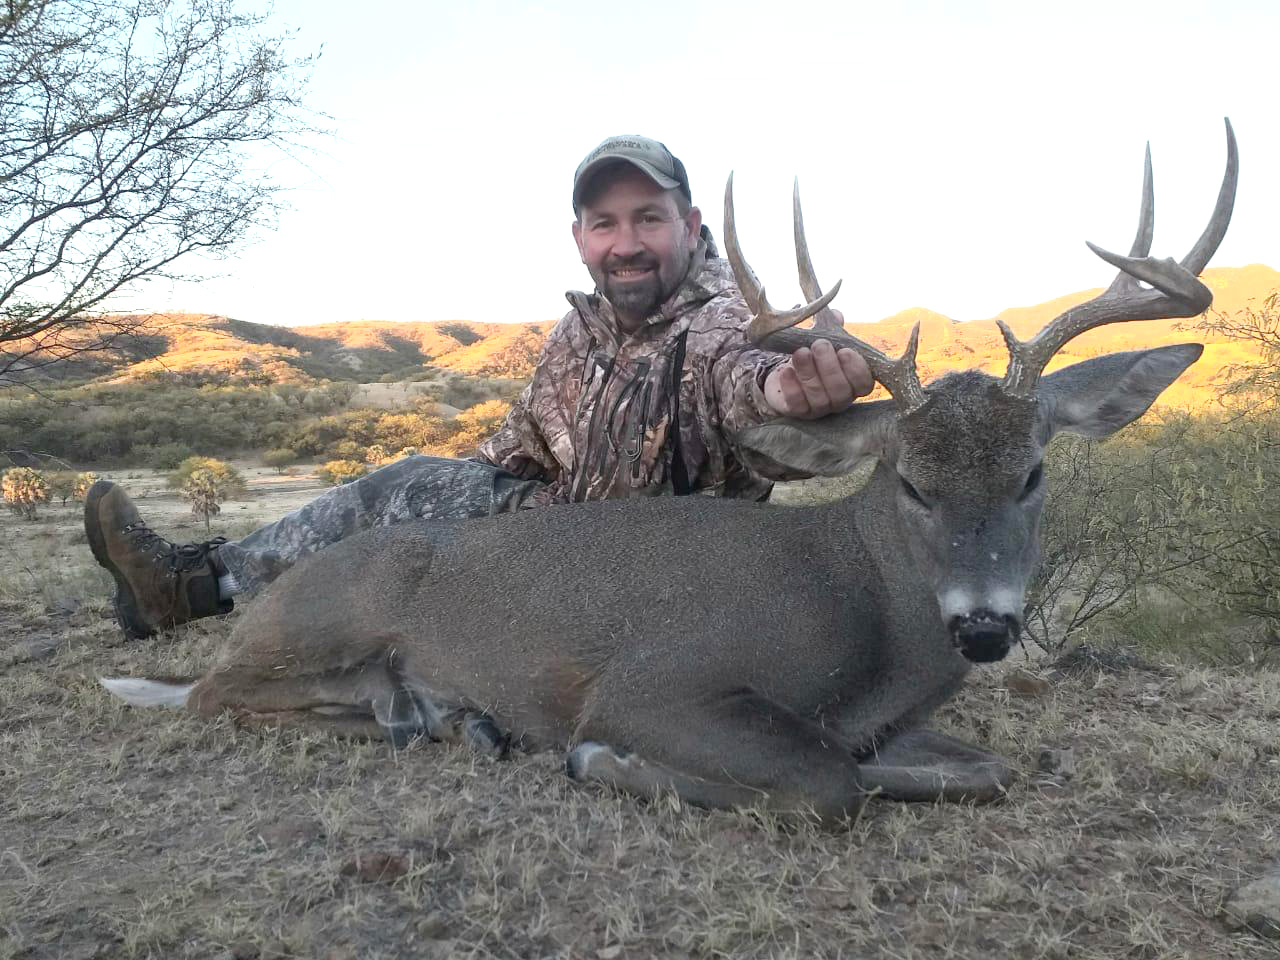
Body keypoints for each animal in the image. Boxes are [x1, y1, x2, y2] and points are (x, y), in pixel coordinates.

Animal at [103, 121, 1237, 824]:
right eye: (911, 482)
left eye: (1033, 473)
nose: (987, 625)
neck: (868, 626)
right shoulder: (655, 679)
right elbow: (825, 781)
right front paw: (601, 761)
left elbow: (990, 768)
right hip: (338, 608)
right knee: (211, 694)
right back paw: (415, 713)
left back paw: (443, 716)